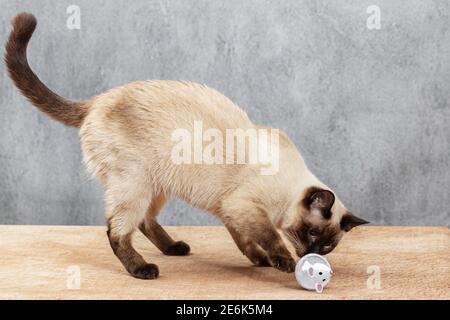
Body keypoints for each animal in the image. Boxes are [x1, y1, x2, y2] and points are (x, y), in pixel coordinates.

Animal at [5, 12, 368, 278]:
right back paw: (142, 269)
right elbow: (269, 237)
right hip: (135, 184)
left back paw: (173, 248)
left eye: (327, 247)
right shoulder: (245, 208)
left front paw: (259, 260)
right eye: (312, 235)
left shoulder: (230, 211)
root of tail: (95, 102)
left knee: (144, 222)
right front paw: (283, 263)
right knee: (116, 230)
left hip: (155, 185)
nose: (311, 255)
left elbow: (245, 240)